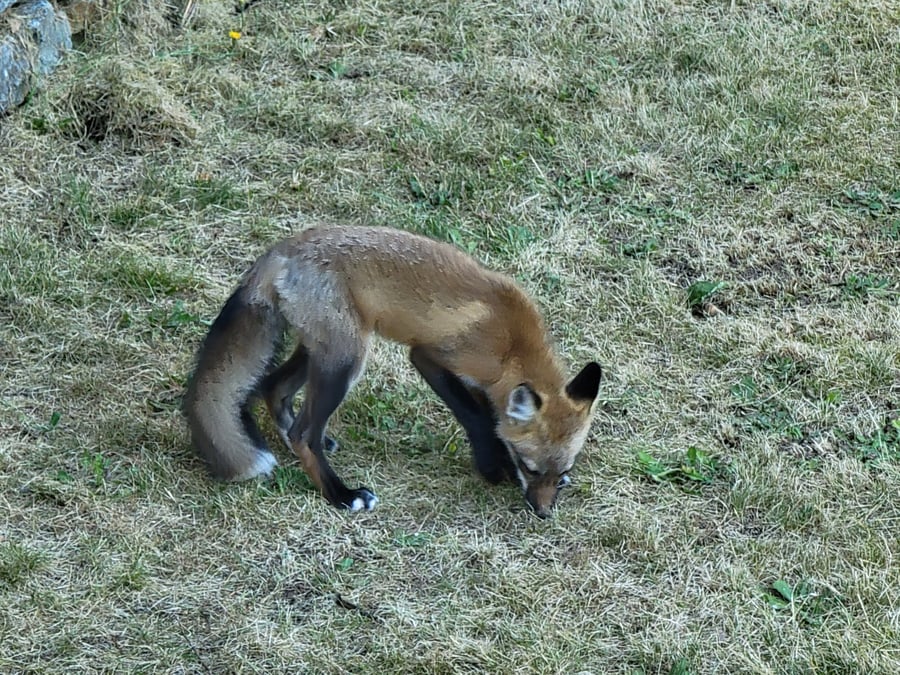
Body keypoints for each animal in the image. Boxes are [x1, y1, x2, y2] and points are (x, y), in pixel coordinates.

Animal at [183, 225, 602, 518]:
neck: (512, 345)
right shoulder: (431, 357)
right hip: (346, 361)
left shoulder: (485, 383)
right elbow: (476, 418)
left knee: (273, 388)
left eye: (562, 475)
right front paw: (490, 464)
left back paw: (295, 438)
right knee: (304, 433)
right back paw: (341, 495)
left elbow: (489, 417)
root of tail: (282, 250)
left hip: (321, 350)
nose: (543, 513)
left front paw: (497, 459)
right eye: (532, 469)